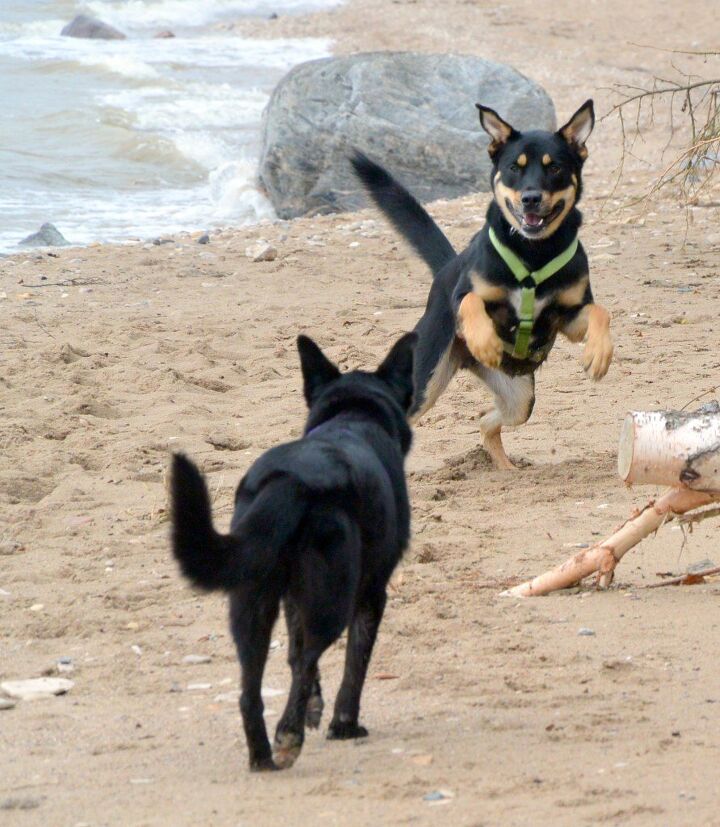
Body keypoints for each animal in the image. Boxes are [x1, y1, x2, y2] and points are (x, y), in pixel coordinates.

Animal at [170, 334, 416, 772]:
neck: (353, 416)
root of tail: (290, 482)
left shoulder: (291, 597)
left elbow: (296, 653)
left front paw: (314, 710)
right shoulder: (371, 594)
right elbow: (353, 663)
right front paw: (343, 724)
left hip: (252, 602)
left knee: (251, 689)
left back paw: (263, 756)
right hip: (333, 600)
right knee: (308, 659)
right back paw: (288, 737)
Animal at [352, 100, 612, 468]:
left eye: (556, 168)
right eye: (514, 168)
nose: (531, 198)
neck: (534, 253)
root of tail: (447, 266)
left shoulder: (571, 316)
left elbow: (601, 312)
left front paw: (599, 353)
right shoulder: (467, 295)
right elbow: (470, 300)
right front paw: (485, 339)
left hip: (519, 396)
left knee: (487, 422)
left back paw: (506, 469)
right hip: (425, 383)